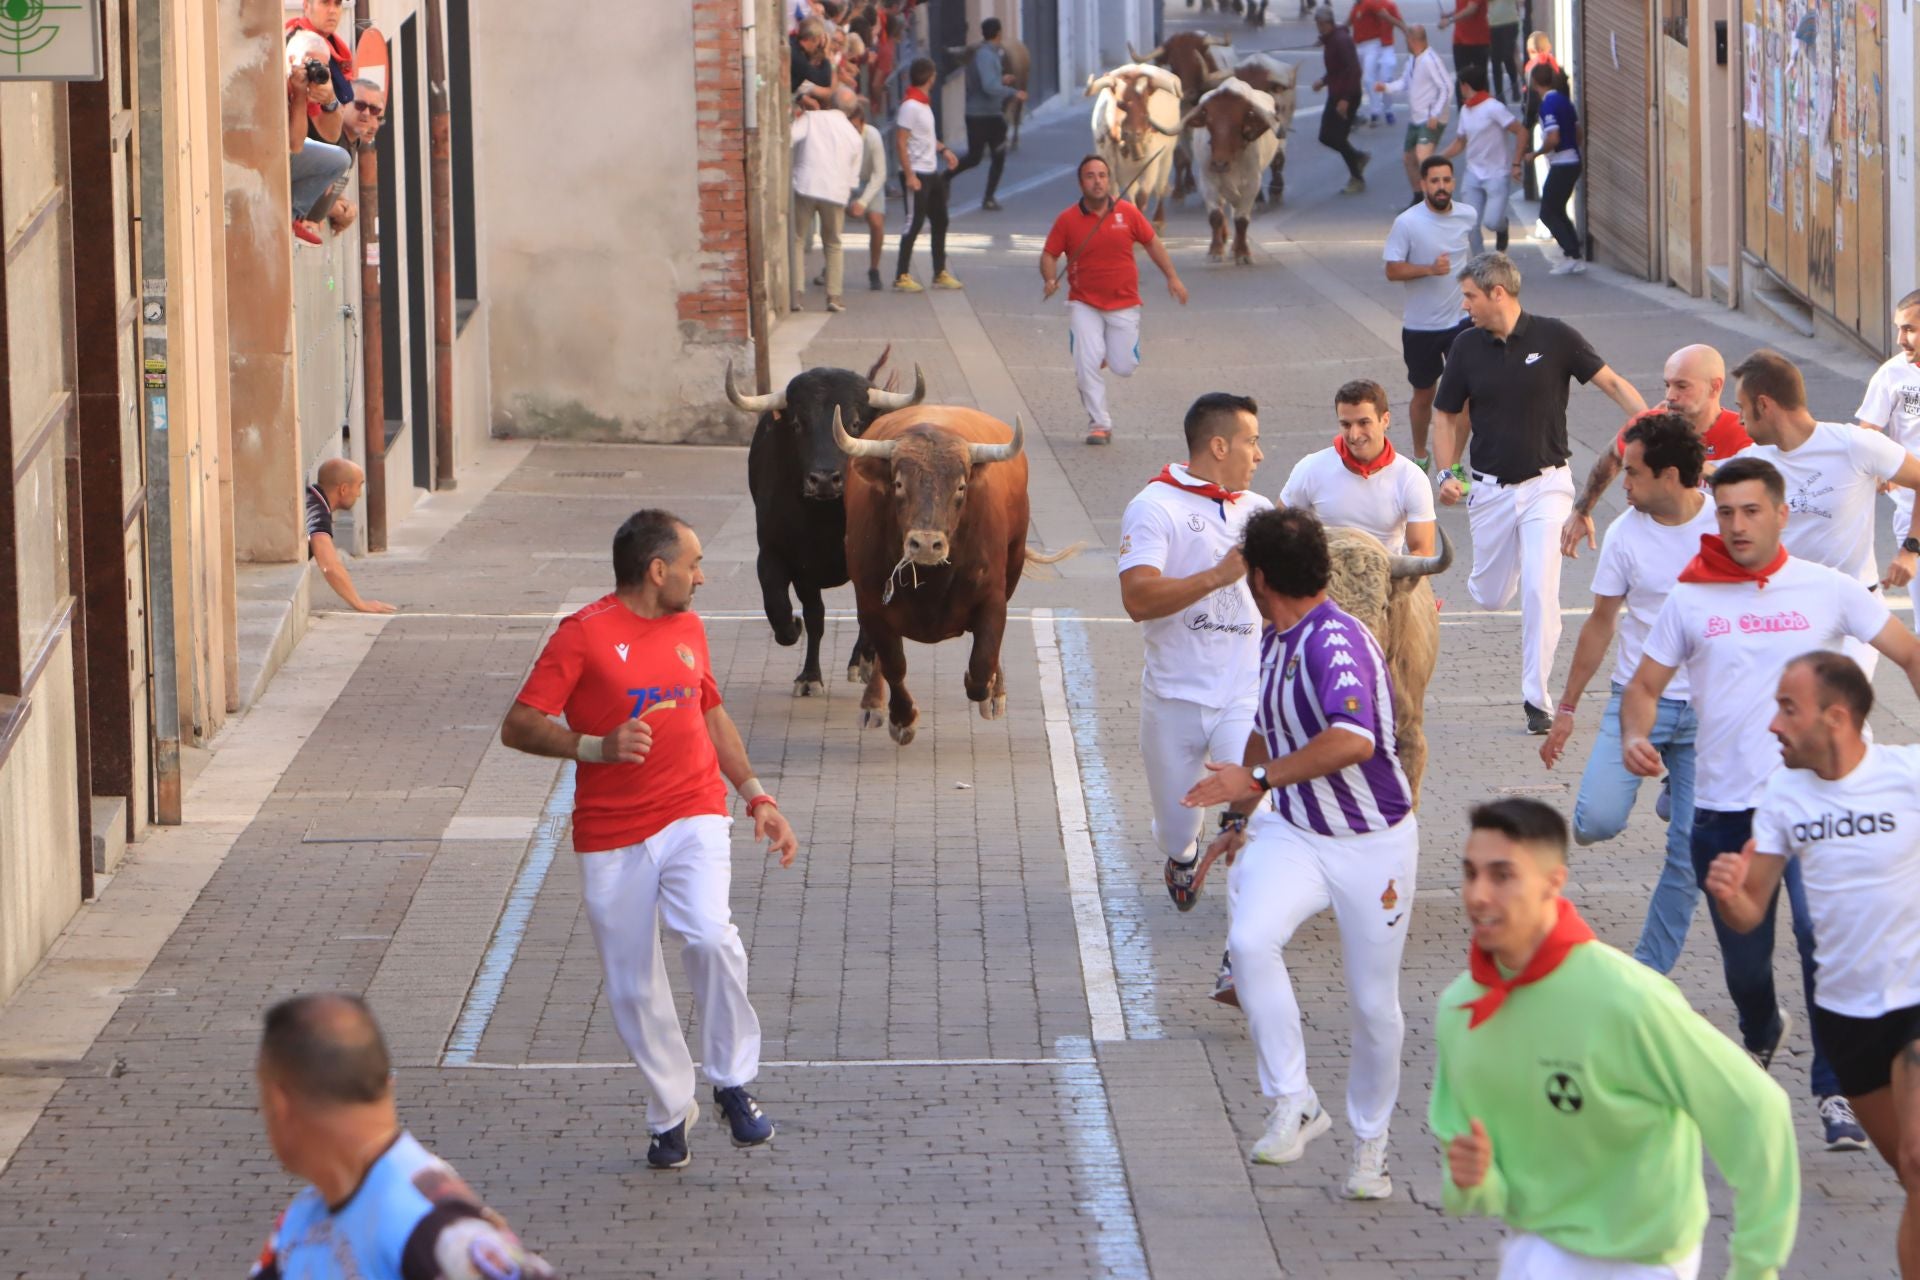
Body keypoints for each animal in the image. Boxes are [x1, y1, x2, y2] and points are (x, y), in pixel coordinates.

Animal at [833, 404, 1029, 744]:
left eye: (961, 486)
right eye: (899, 484)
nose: (926, 543)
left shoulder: (993, 598)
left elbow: (981, 668)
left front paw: (990, 688)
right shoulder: (871, 605)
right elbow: (894, 664)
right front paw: (903, 719)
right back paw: (873, 703)